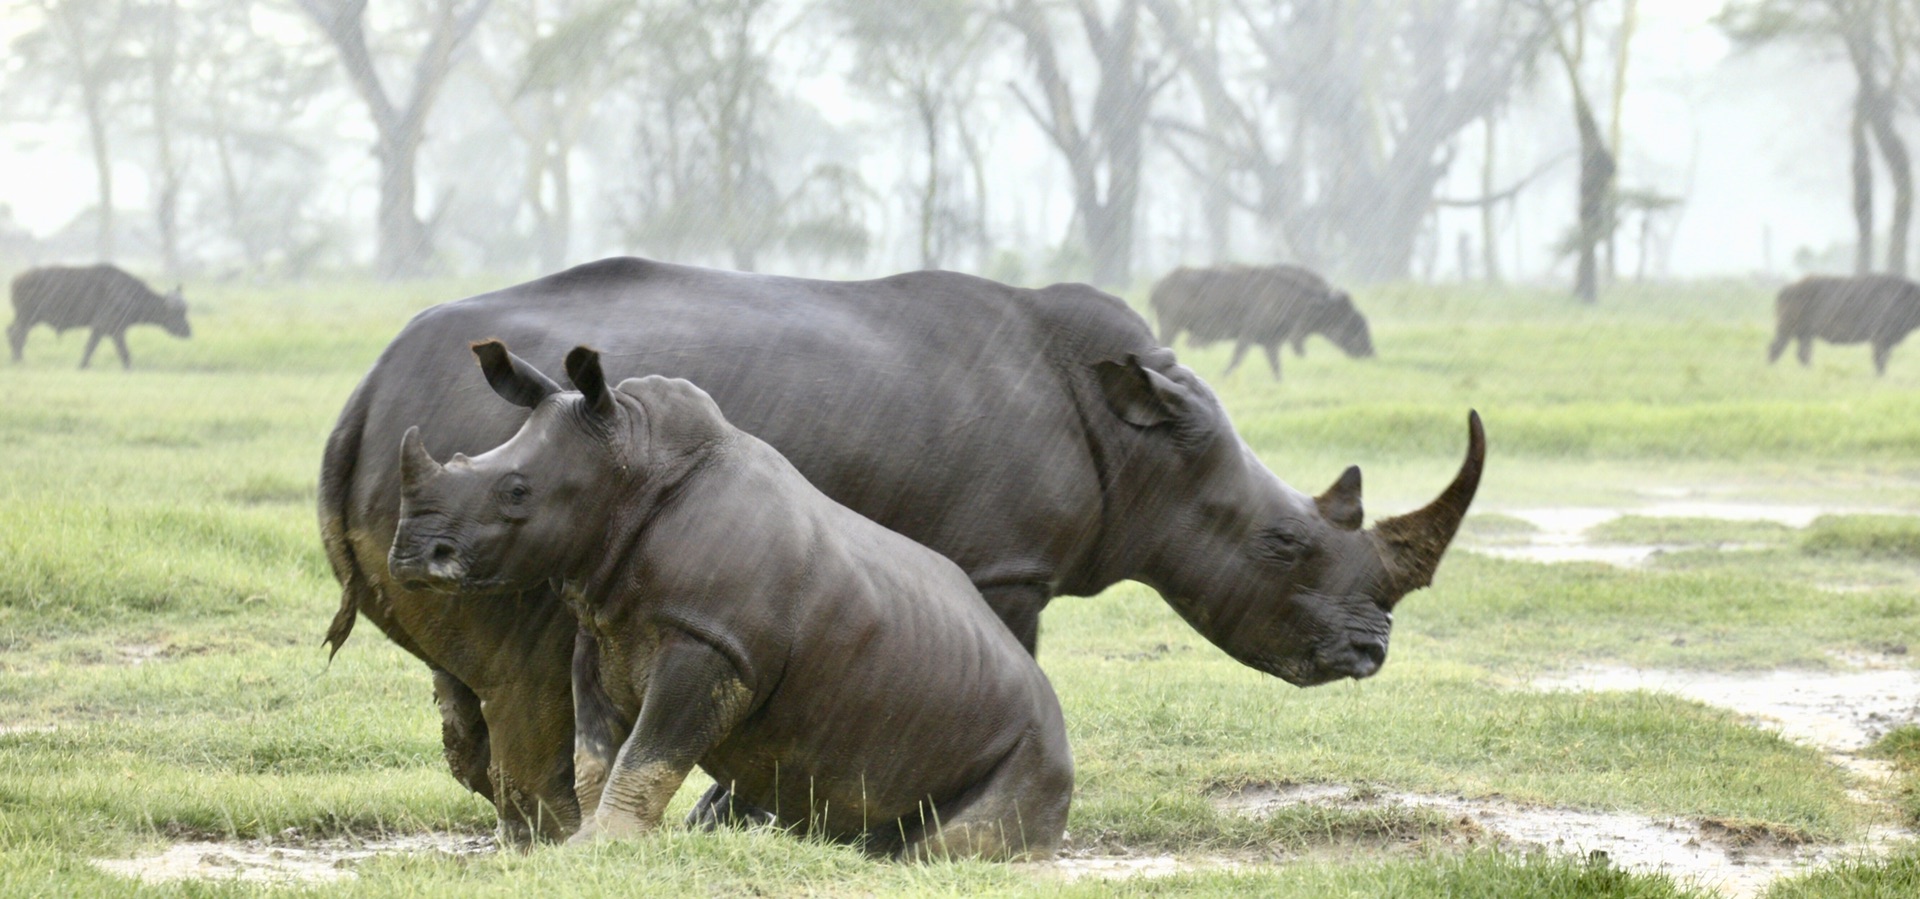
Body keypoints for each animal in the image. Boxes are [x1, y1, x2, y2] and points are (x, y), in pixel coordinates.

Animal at [7, 263, 191, 368]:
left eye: (185, 311)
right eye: (177, 312)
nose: (188, 331)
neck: (127, 294)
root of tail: (16, 279)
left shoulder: (104, 329)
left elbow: (94, 347)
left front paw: (84, 365)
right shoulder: (110, 328)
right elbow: (118, 351)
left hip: (24, 318)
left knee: (10, 331)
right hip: (26, 318)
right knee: (17, 336)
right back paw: (19, 360)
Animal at [1144, 265, 1374, 380]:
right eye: (1349, 321)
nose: (1370, 352)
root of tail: (1156, 287)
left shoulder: (1271, 343)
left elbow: (1275, 366)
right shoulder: (1248, 335)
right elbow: (1237, 359)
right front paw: (1222, 377)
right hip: (1170, 326)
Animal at [1766, 272, 1920, 374]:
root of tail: (1786, 289)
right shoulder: (1880, 339)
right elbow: (1880, 360)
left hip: (1805, 334)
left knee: (1803, 354)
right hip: (1787, 330)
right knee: (1776, 349)